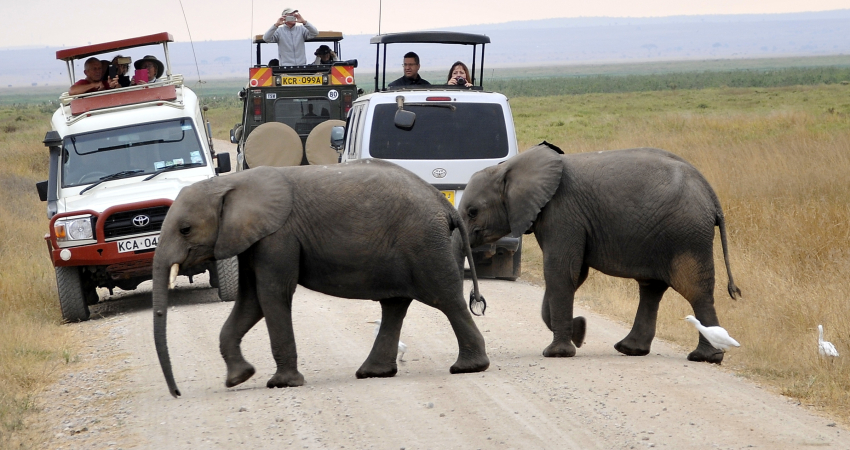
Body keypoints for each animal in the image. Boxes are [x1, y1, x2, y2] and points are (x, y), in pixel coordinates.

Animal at [149, 159, 486, 398]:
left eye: (185, 229)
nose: (177, 393)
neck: (229, 183)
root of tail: (444, 204)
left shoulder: (278, 236)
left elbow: (272, 294)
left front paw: (281, 384)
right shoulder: (250, 240)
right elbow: (251, 300)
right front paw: (238, 378)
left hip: (424, 242)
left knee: (446, 298)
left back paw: (468, 367)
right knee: (394, 305)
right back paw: (373, 373)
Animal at [454, 142, 740, 364]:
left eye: (472, 212)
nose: (477, 301)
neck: (508, 167)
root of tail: (712, 196)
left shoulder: (562, 213)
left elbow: (560, 272)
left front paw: (558, 352)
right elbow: (572, 274)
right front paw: (579, 331)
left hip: (686, 235)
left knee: (694, 289)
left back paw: (705, 357)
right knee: (651, 288)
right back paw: (630, 349)